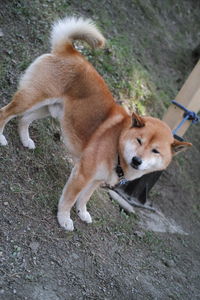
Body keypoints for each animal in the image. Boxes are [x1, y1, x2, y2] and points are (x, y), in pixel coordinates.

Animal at [0, 17, 191, 230]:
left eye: (155, 150)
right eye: (139, 141)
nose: (137, 160)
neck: (117, 144)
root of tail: (71, 51)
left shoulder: (96, 180)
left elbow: (84, 198)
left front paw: (82, 213)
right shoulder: (83, 174)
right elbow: (69, 199)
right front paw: (64, 219)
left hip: (47, 109)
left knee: (23, 119)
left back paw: (26, 140)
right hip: (32, 99)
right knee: (5, 113)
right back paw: (1, 137)